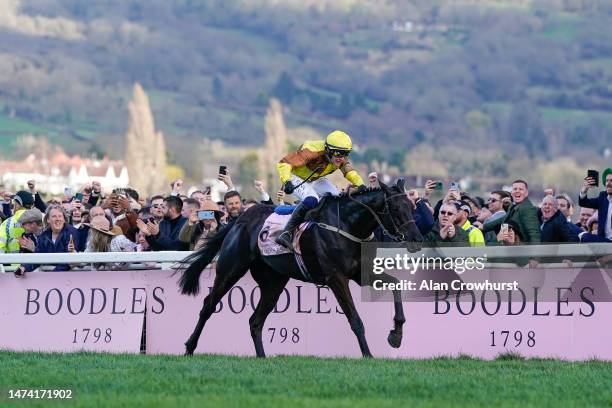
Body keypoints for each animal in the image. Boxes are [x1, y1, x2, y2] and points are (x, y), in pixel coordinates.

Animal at [179, 179, 424, 356]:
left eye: (412, 206)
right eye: (395, 208)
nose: (417, 239)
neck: (347, 224)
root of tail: (239, 219)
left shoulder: (361, 273)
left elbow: (396, 284)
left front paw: (396, 335)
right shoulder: (336, 278)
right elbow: (355, 319)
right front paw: (368, 355)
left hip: (273, 282)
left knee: (255, 321)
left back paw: (262, 357)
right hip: (231, 269)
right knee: (208, 306)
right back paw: (190, 347)